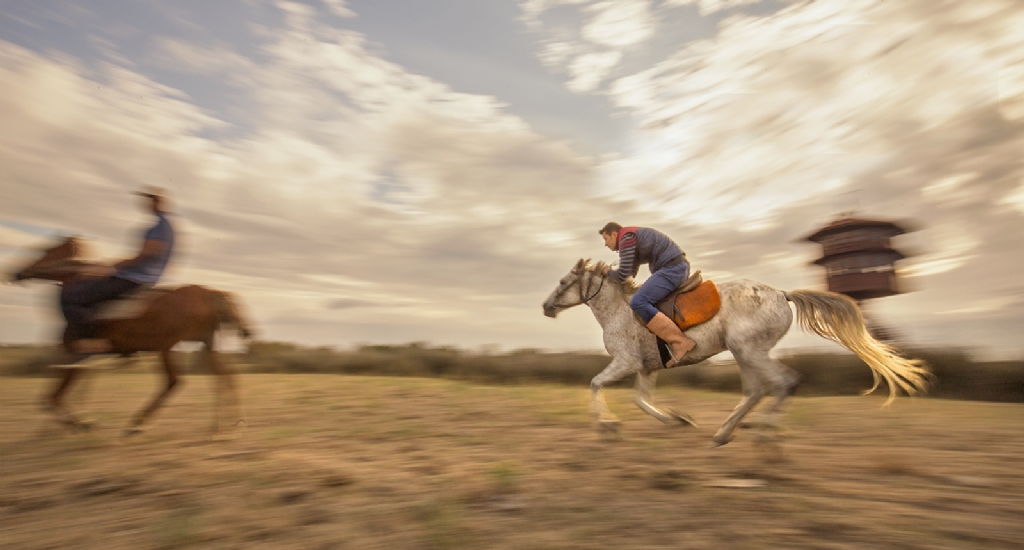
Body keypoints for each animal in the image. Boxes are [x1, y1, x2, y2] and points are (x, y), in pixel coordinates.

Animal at [12, 237, 253, 436]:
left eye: (46, 251)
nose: (18, 273)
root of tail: (210, 293)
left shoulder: (75, 356)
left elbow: (52, 398)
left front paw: (81, 422)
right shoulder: (80, 360)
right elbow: (64, 394)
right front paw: (78, 421)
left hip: (167, 346)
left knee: (176, 381)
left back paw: (138, 424)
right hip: (203, 343)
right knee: (225, 376)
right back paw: (225, 423)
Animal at [540, 258, 933, 446]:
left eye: (563, 282)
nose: (546, 307)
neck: (620, 310)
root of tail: (782, 294)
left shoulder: (626, 362)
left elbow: (595, 384)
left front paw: (607, 426)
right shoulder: (646, 368)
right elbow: (641, 401)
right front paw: (678, 419)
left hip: (749, 350)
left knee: (784, 383)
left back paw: (764, 434)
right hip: (742, 353)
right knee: (756, 391)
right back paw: (724, 434)